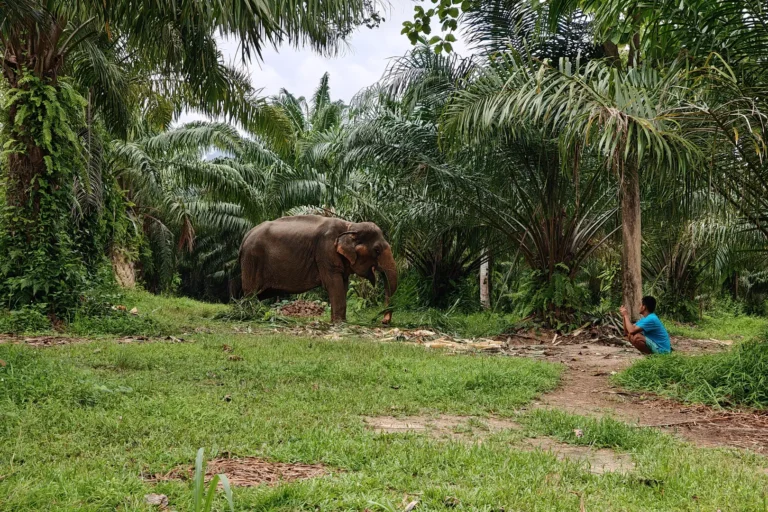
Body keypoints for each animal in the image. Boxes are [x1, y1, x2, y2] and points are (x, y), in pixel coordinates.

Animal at [239, 215, 398, 323]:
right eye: (377, 250)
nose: (383, 321)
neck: (350, 226)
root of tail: (246, 236)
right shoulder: (325, 252)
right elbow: (333, 284)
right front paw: (339, 323)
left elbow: (343, 285)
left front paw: (339, 322)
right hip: (253, 259)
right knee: (250, 292)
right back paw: (251, 316)